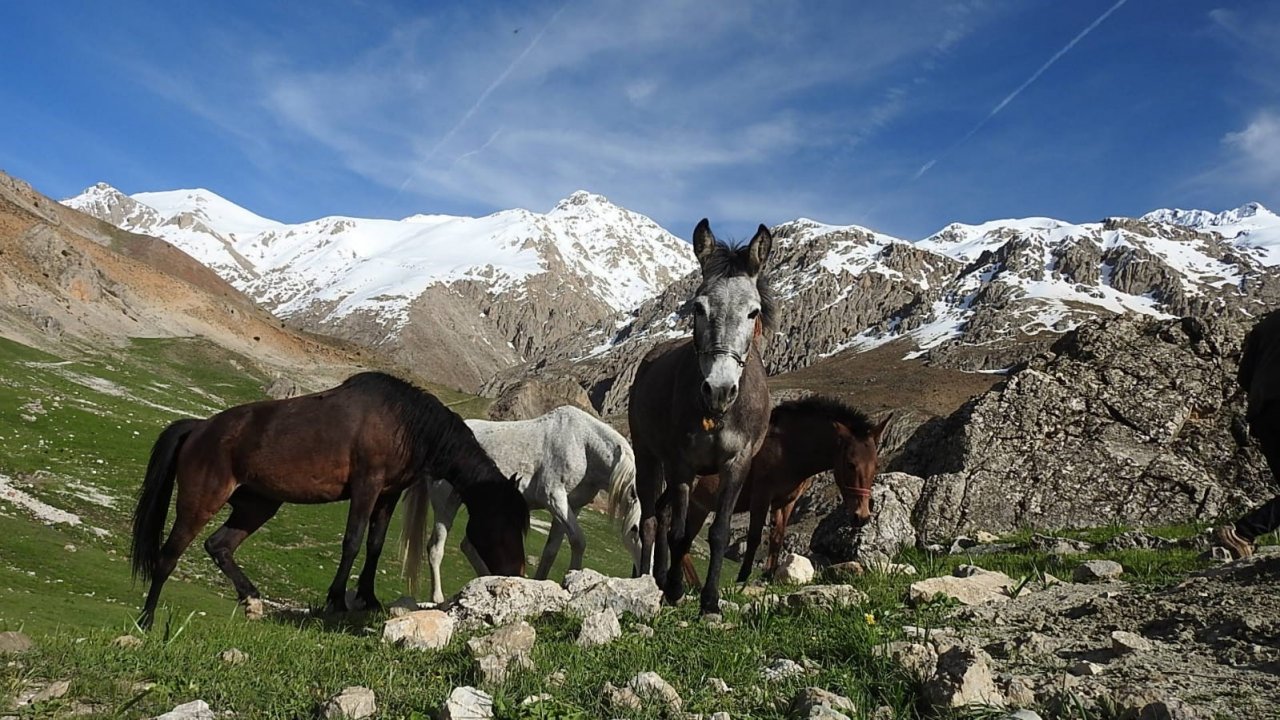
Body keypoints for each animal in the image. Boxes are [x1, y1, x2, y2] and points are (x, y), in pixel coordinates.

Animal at [127, 368, 527, 627]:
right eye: (504, 522)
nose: (517, 574)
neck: (405, 424)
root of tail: (199, 428)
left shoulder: (388, 494)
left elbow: (375, 544)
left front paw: (368, 598)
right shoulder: (366, 486)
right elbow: (352, 541)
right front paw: (336, 599)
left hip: (257, 505)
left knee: (219, 546)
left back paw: (252, 600)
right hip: (199, 502)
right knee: (168, 556)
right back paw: (146, 620)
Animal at [399, 404, 640, 599]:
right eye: (635, 530)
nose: (643, 571)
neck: (583, 444)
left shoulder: (570, 507)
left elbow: (551, 550)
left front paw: (541, 584)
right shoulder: (554, 497)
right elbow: (578, 541)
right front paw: (574, 579)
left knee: (467, 544)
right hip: (445, 504)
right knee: (435, 548)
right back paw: (437, 598)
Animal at [627, 217, 773, 609]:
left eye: (753, 312)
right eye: (698, 308)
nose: (719, 390)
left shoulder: (737, 464)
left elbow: (719, 532)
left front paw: (709, 601)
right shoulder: (682, 464)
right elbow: (679, 534)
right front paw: (677, 590)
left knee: (661, 514)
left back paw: (661, 578)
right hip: (648, 457)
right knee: (651, 521)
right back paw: (648, 581)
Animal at [675, 394, 896, 586]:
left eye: (876, 465)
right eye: (850, 464)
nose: (862, 516)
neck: (786, 448)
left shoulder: (786, 501)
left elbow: (777, 538)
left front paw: (769, 576)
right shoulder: (761, 496)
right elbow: (754, 537)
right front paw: (743, 578)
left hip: (698, 507)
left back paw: (693, 586)